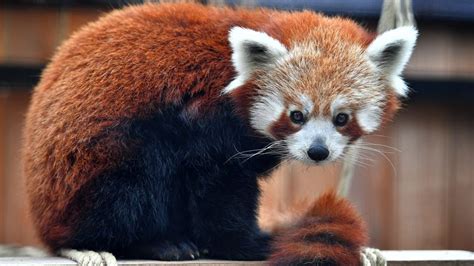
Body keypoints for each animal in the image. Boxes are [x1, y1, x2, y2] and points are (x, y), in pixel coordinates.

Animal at [23, 1, 414, 264]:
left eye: (342, 118)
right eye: (297, 115)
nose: (317, 152)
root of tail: (43, 220)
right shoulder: (202, 120)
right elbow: (218, 187)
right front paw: (252, 244)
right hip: (97, 167)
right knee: (137, 180)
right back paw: (142, 243)